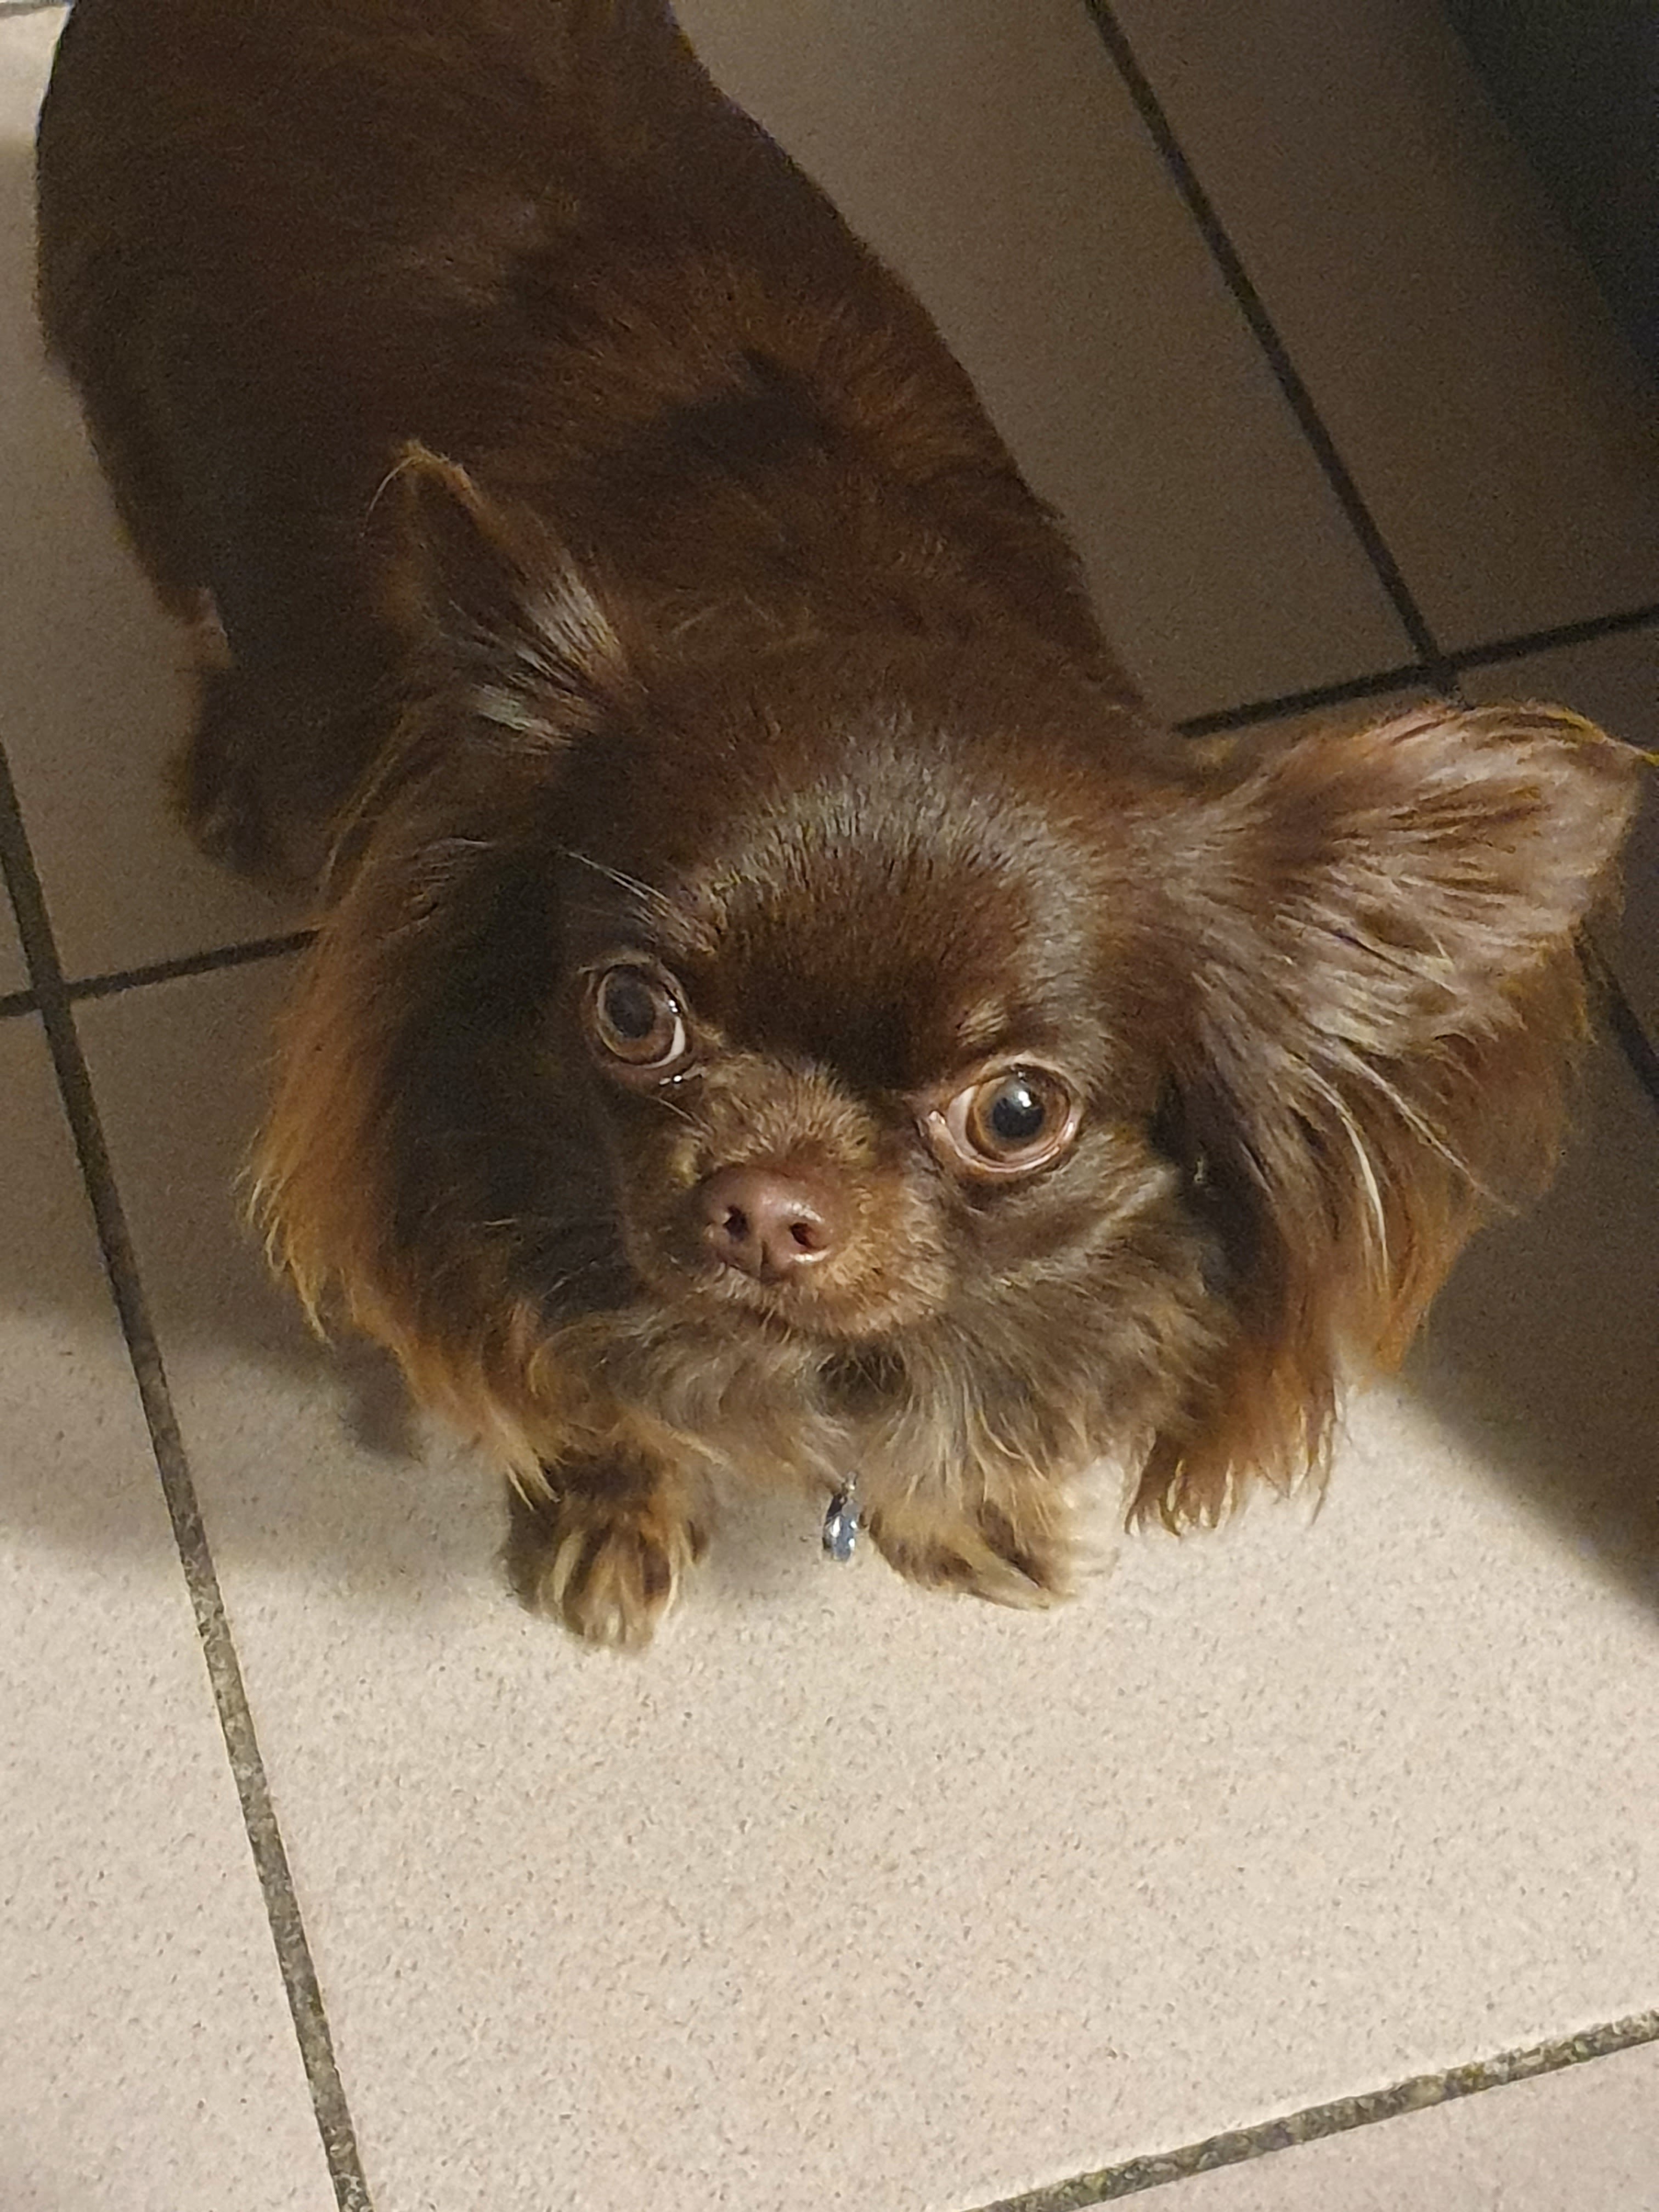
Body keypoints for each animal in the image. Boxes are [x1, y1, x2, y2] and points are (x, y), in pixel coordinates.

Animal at [35, 0, 1638, 1647]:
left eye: (1017, 1114)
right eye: (632, 1014)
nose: (765, 1205)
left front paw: (964, 1508)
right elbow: (595, 1389)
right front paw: (613, 1510)